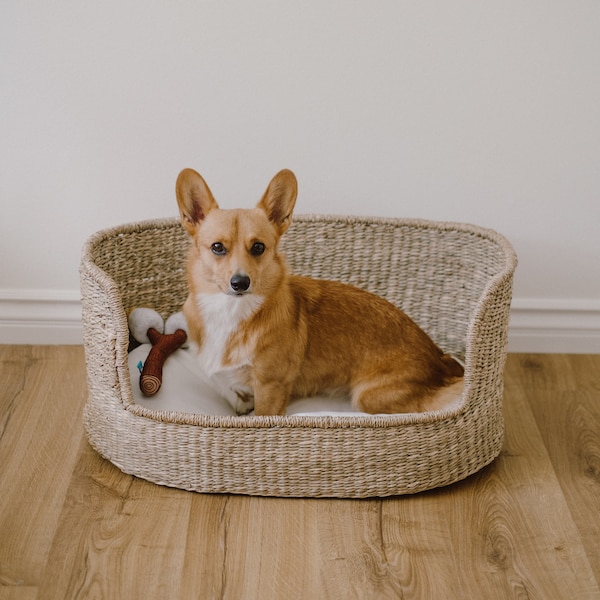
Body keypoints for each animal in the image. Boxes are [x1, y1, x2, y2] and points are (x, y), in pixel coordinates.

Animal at [176, 166, 466, 414]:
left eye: (258, 247)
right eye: (217, 247)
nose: (240, 282)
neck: (230, 312)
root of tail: (442, 362)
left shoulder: (271, 387)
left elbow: (260, 413)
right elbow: (226, 388)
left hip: (368, 396)